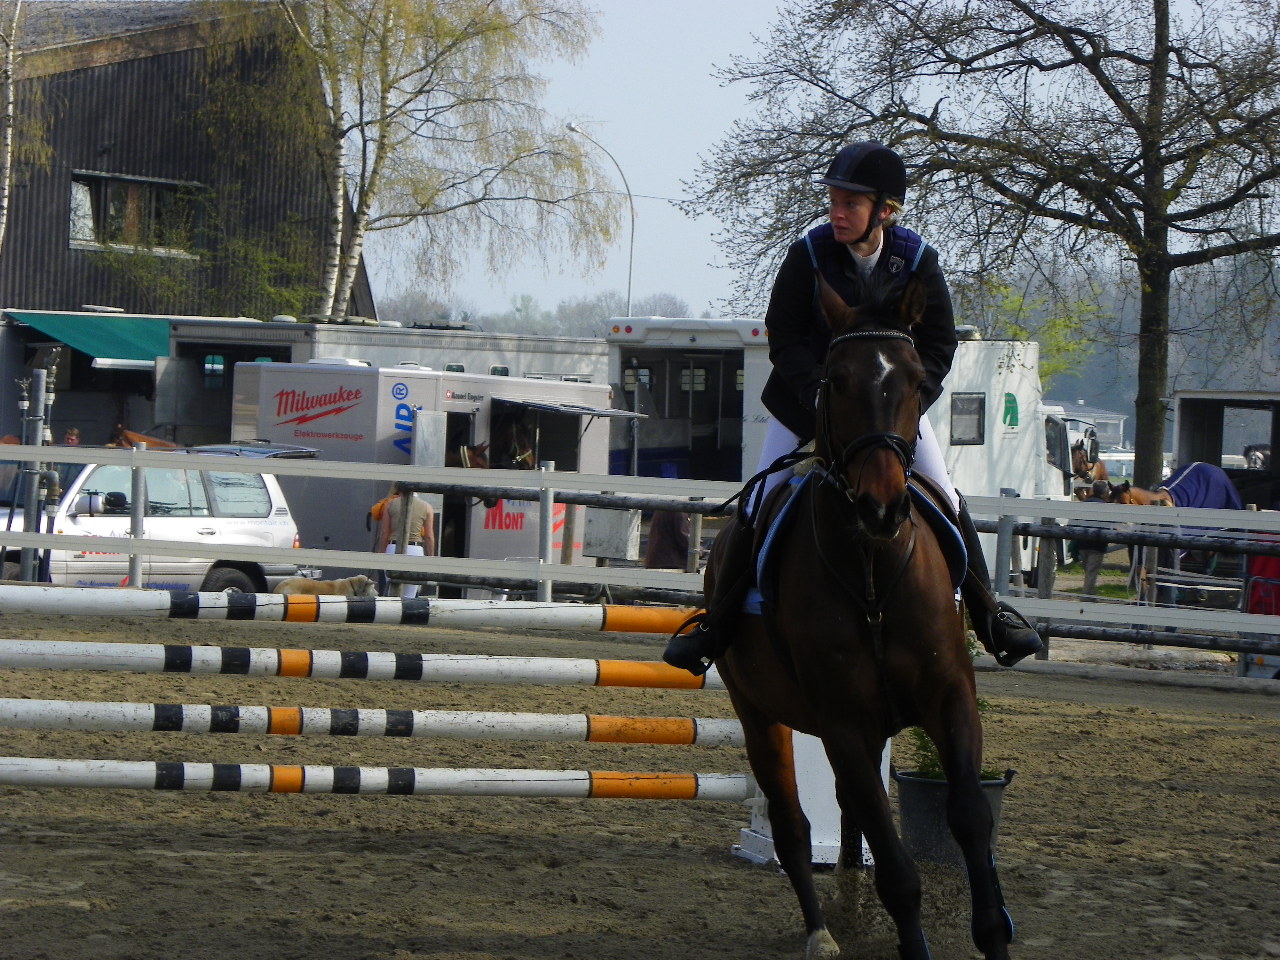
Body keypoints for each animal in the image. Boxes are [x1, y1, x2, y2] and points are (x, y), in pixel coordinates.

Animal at [709, 274, 1012, 960]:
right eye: (836, 379)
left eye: (916, 380)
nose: (881, 508)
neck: (872, 567)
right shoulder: (844, 724)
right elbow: (898, 873)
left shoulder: (950, 697)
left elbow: (970, 816)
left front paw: (994, 934)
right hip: (759, 714)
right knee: (792, 825)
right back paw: (821, 932)